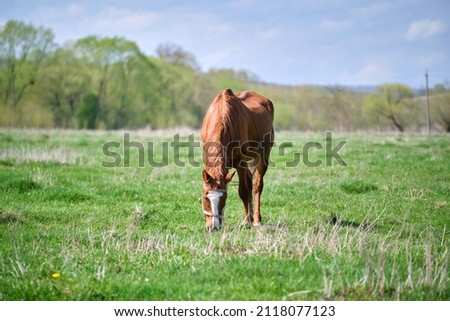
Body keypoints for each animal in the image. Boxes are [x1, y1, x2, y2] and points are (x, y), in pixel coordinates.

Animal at [201, 87, 274, 229]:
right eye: (206, 197)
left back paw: (255, 219)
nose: (213, 226)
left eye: (224, 197)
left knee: (256, 185)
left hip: (262, 157)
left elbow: (244, 191)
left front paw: (246, 221)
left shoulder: (240, 163)